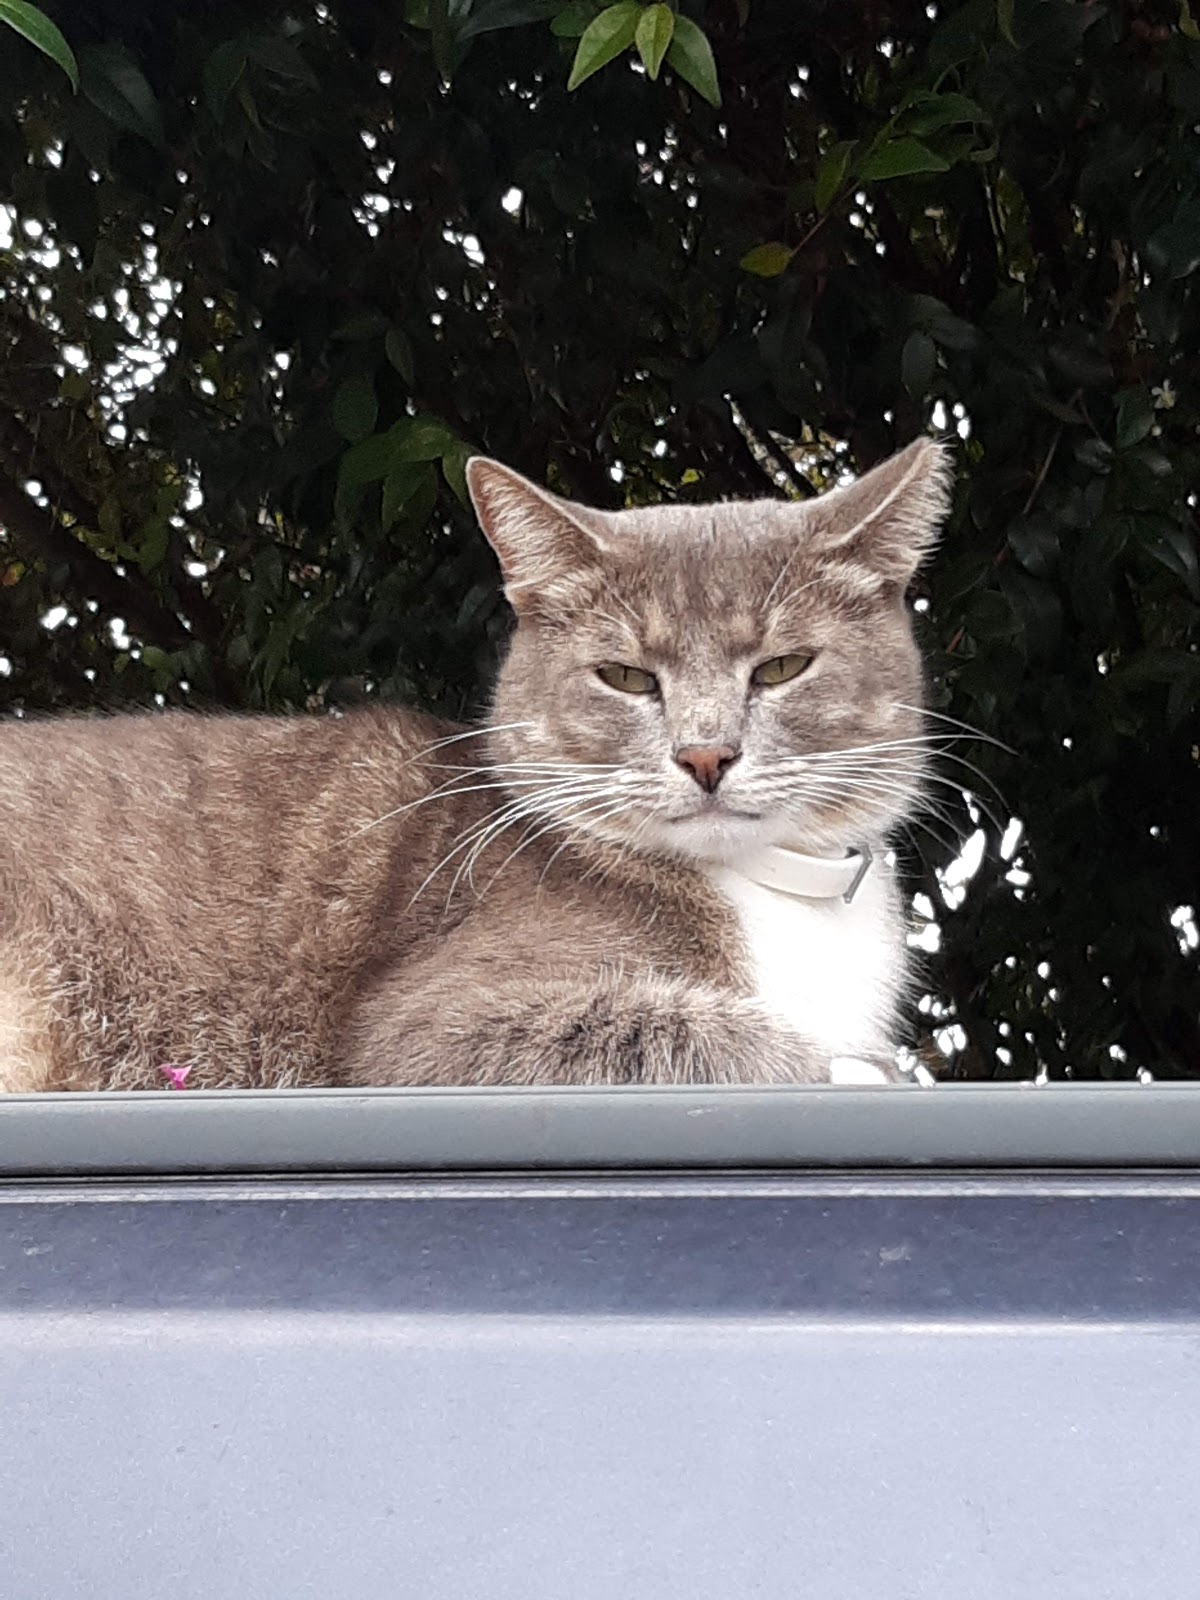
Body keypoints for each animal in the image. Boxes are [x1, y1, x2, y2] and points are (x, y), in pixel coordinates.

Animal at [0, 436, 950, 1093]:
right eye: (627, 677)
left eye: (782, 668)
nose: (705, 753)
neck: (769, 886)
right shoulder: (427, 1026)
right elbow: (701, 1034)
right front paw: (856, 1065)